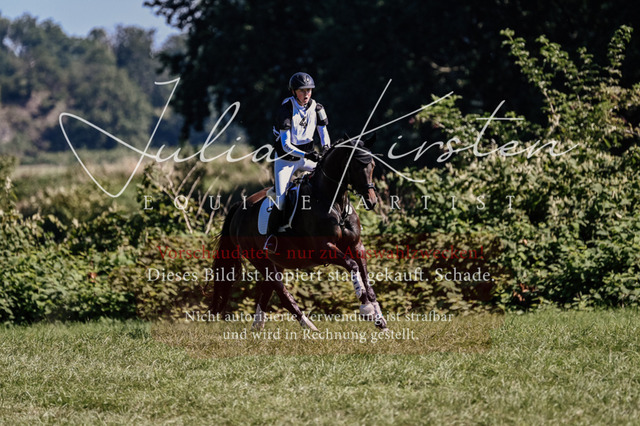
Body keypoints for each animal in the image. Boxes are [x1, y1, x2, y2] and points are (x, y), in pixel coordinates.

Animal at [209, 135, 388, 332]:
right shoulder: (323, 249)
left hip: (275, 260)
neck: (335, 205)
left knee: (267, 289)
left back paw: (258, 326)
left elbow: (366, 278)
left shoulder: (356, 246)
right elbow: (353, 266)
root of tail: (239, 209)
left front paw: (379, 318)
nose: (371, 201)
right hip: (258, 258)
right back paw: (309, 326)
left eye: (372, 165)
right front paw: (367, 309)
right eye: (355, 166)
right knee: (280, 290)